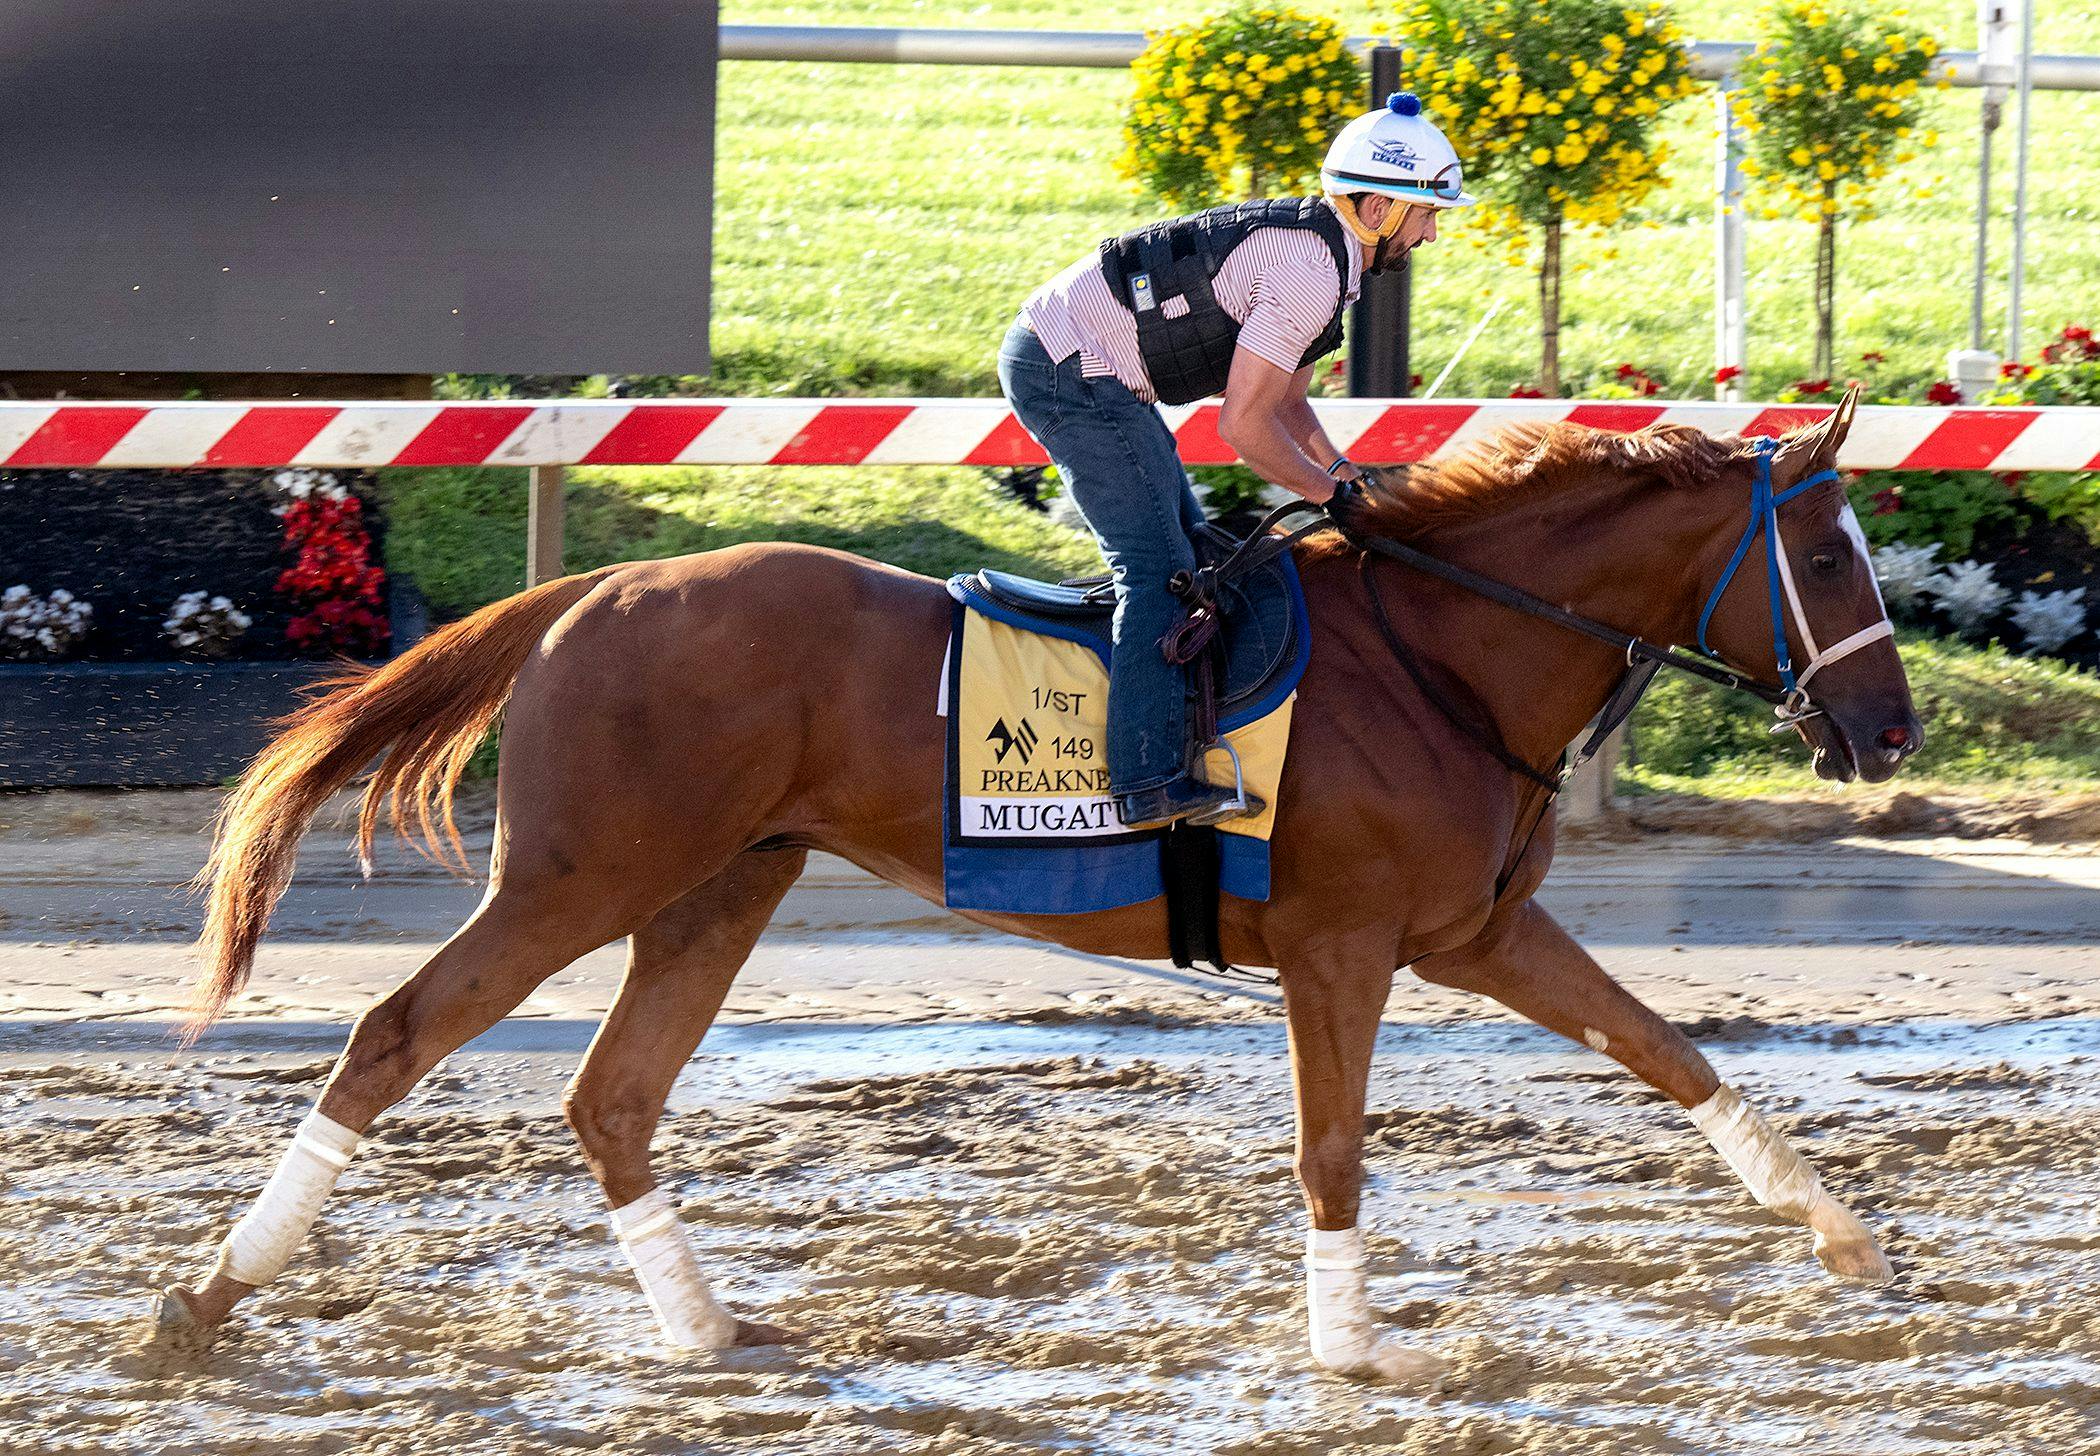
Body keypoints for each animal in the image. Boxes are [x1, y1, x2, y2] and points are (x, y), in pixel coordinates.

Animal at [155, 403, 1923, 1378]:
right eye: (1831, 559)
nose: (1892, 727)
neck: (1445, 657)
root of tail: (602, 584)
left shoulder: (1479, 932)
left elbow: (1671, 1051)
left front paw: (1843, 1233)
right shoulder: (1341, 947)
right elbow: (1334, 1150)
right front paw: (1352, 1349)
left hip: (722, 882)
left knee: (613, 1097)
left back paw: (707, 1332)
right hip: (587, 871)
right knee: (397, 1035)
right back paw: (207, 1295)